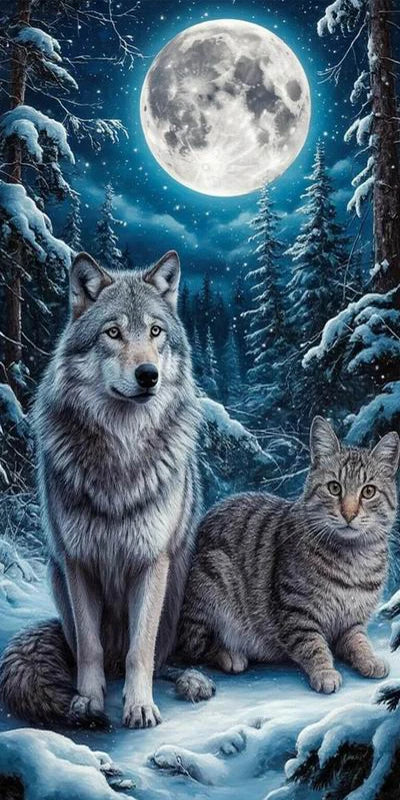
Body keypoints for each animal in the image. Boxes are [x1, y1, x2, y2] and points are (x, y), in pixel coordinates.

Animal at [0, 249, 214, 729]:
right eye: (113, 333)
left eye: (155, 331)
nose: (148, 374)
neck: (122, 449)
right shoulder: (77, 563)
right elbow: (90, 647)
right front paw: (87, 702)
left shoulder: (151, 562)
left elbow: (141, 650)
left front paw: (139, 706)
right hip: (57, 580)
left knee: (166, 657)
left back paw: (195, 681)